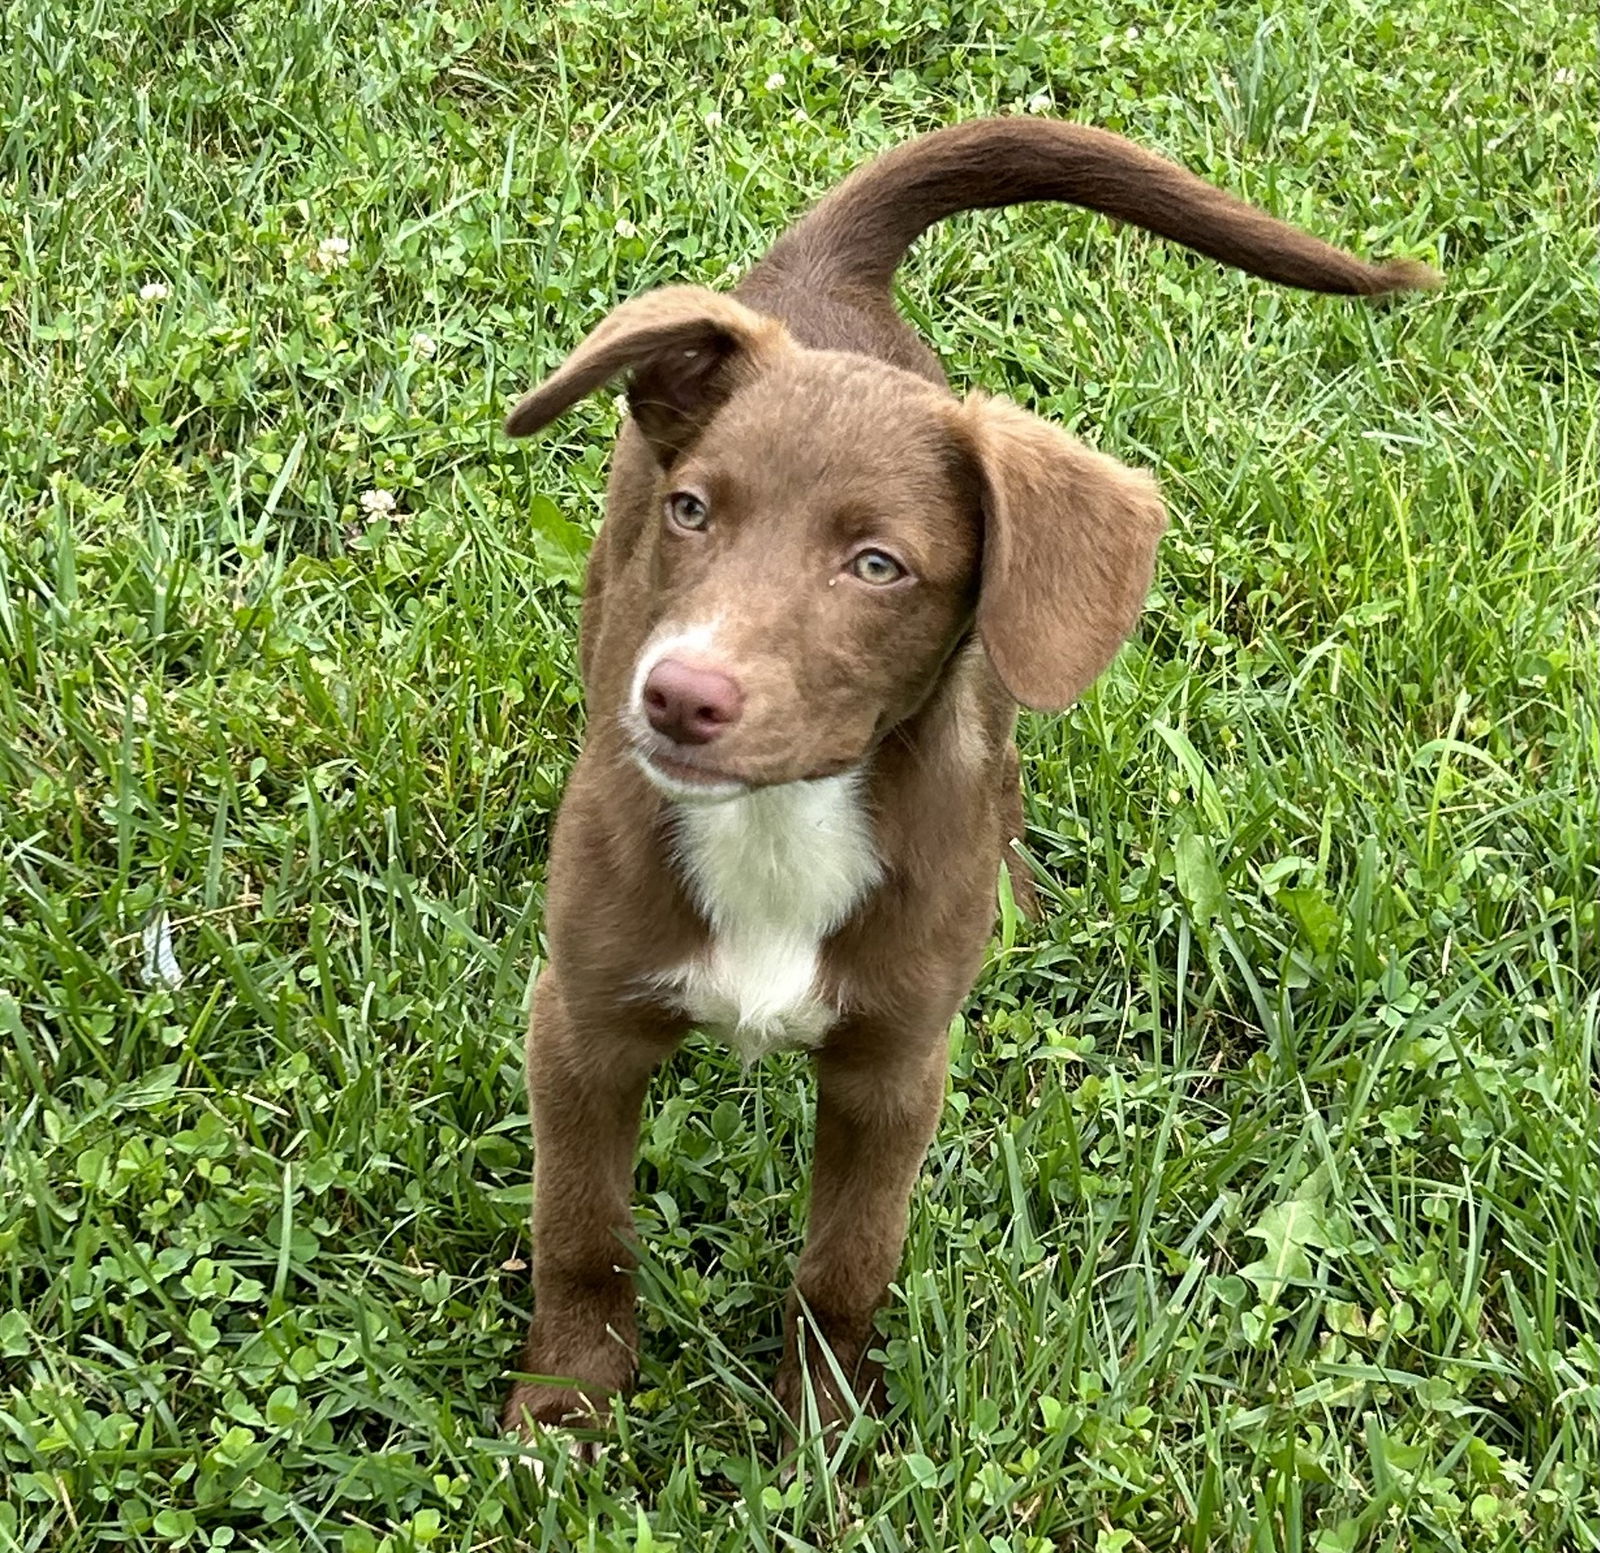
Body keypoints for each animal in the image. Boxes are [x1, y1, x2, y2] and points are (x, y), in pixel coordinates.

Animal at [499, 111, 1440, 1445]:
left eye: (877, 564)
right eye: (692, 510)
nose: (677, 695)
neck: (779, 822)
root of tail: (825, 270)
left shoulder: (896, 1067)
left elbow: (846, 1263)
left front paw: (825, 1438)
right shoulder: (580, 1023)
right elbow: (583, 1232)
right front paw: (566, 1412)